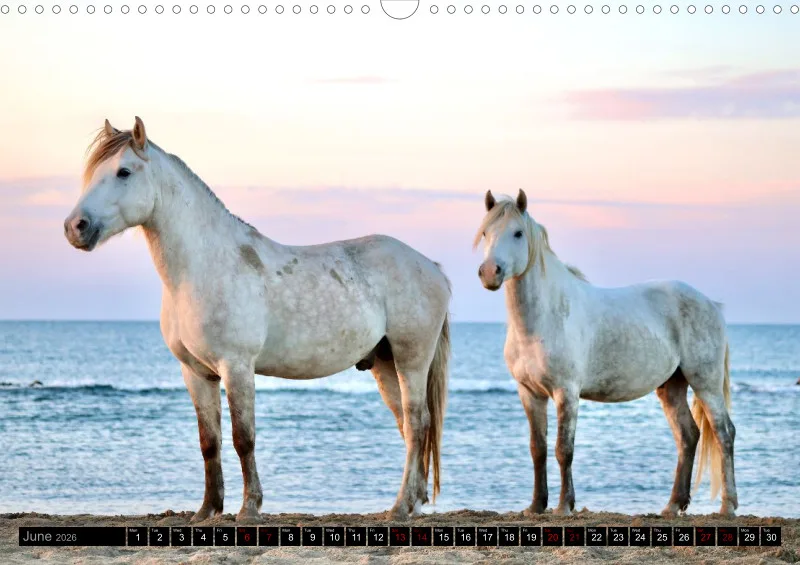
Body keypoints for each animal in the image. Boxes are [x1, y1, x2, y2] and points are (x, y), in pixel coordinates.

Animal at [63, 117, 451, 522]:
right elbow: (209, 442)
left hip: (411, 359)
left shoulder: (236, 366)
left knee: (418, 423)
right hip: (385, 364)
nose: (76, 227)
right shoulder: (196, 373)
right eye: (92, 174)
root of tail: (432, 267)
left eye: (123, 172)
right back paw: (413, 503)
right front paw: (207, 509)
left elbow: (242, 438)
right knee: (409, 426)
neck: (202, 267)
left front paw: (249, 508)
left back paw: (400, 508)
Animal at [474, 189, 737, 517]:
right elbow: (538, 449)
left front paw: (564, 505)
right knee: (688, 436)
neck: (543, 318)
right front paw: (535, 505)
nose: (489, 273)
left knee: (724, 433)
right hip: (672, 385)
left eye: (518, 233)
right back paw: (673, 505)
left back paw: (727, 506)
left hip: (705, 382)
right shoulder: (530, 393)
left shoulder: (566, 392)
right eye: (486, 232)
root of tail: (710, 303)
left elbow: (563, 449)